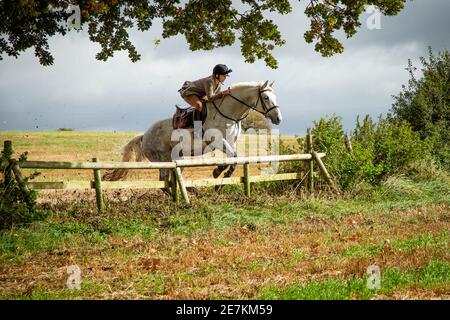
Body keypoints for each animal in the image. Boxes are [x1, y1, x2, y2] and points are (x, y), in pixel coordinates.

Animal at [103, 79, 284, 192]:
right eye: (266, 97)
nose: (278, 118)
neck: (228, 112)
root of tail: (144, 135)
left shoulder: (229, 142)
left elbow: (233, 160)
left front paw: (219, 182)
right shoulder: (218, 141)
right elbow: (232, 158)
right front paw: (217, 174)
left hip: (176, 159)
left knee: (171, 180)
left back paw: (191, 192)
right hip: (162, 159)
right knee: (164, 182)